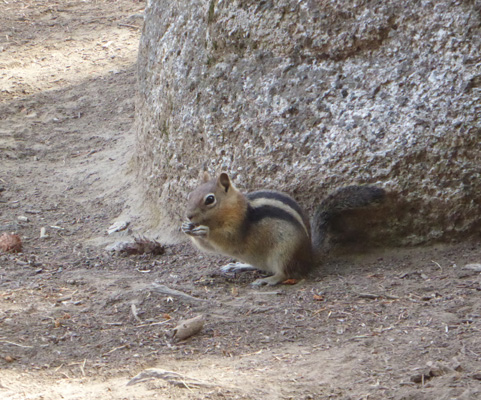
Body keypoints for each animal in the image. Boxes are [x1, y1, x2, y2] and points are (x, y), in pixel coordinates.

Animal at [182, 173, 384, 286]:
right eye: (190, 195)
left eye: (210, 199)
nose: (188, 215)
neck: (236, 208)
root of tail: (309, 255)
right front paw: (187, 228)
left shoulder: (237, 228)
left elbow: (226, 240)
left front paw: (204, 231)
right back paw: (239, 265)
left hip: (284, 252)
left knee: (285, 273)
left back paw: (268, 280)